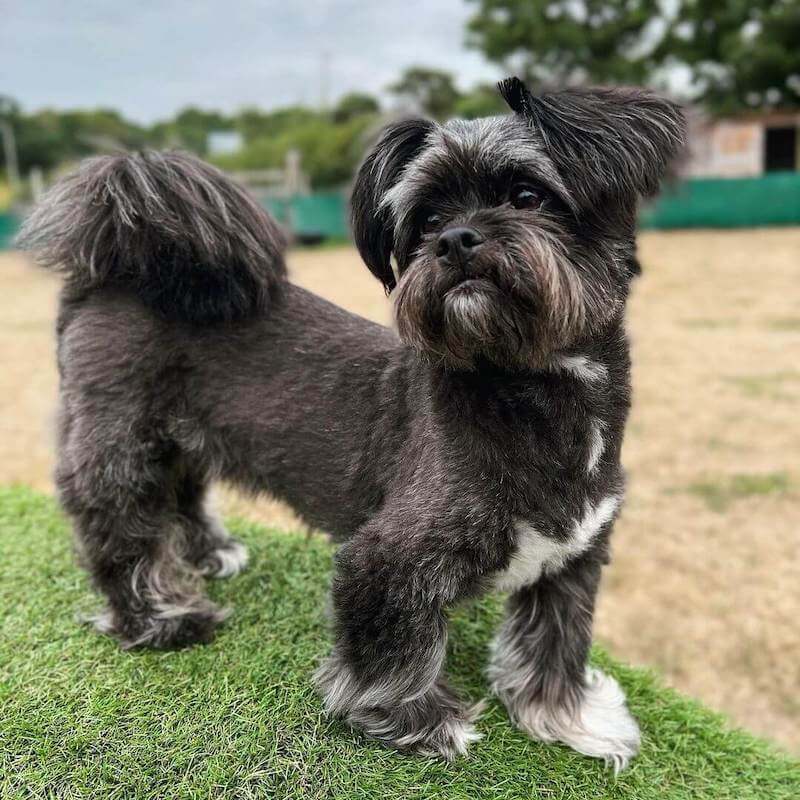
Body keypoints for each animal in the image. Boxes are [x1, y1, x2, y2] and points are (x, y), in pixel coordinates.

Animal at [17, 79, 680, 768]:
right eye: (427, 220)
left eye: (528, 196)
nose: (455, 239)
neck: (522, 385)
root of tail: (110, 273)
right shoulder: (388, 558)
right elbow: (393, 648)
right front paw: (417, 720)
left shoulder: (573, 557)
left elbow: (556, 640)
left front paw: (568, 716)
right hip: (120, 442)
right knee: (118, 527)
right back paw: (160, 616)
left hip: (178, 436)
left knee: (180, 494)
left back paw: (209, 553)